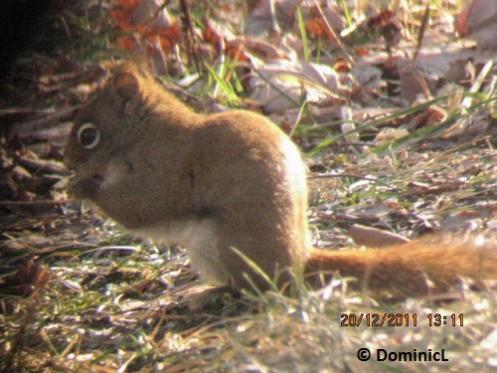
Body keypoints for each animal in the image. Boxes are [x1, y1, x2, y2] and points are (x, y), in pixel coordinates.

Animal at [65, 62, 496, 298]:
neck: (144, 133)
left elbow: (142, 207)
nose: (66, 160)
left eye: (88, 135)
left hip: (229, 244)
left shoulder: (164, 167)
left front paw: (81, 187)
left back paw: (210, 295)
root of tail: (297, 259)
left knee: (257, 286)